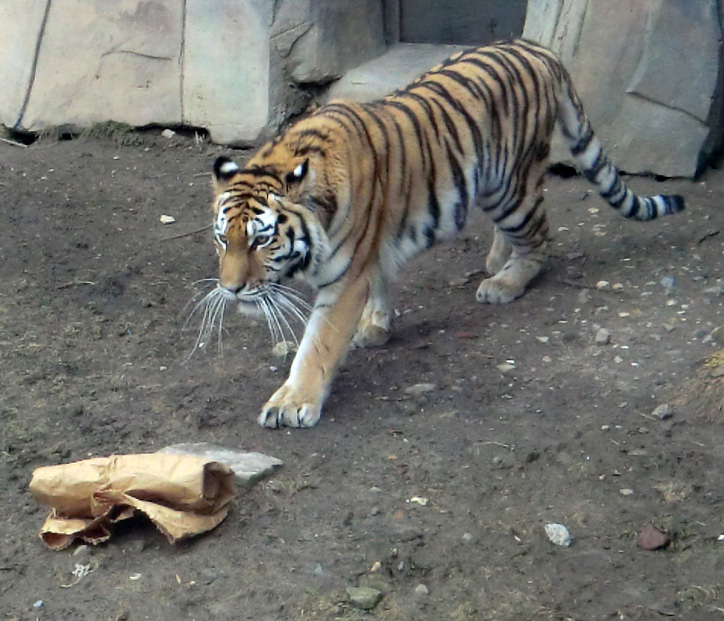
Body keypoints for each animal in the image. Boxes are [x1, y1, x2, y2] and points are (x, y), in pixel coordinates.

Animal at [205, 37, 684, 426]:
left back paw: (504, 282)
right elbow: (380, 283)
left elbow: (317, 344)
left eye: (262, 239)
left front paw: (292, 403)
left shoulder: (345, 276)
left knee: (540, 237)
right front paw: (376, 327)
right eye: (223, 238)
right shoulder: (371, 248)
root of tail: (539, 49)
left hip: (510, 187)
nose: (230, 289)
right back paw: (497, 259)